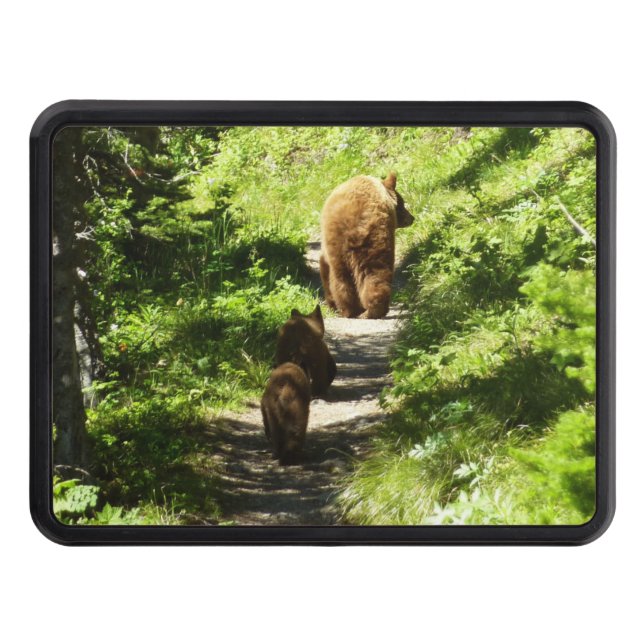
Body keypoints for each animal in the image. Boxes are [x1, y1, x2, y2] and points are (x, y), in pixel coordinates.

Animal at [319, 172, 414, 319]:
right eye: (402, 203)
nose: (412, 218)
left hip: (350, 244)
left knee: (345, 277)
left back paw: (353, 310)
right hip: (372, 240)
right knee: (373, 273)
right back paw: (368, 310)